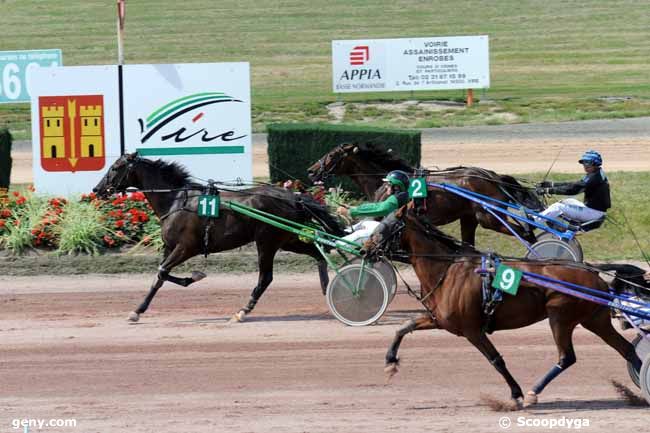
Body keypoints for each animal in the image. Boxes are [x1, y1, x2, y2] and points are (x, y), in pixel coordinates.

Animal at [93, 154, 344, 322]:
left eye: (116, 167)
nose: (97, 189)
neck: (177, 201)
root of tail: (293, 197)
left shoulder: (186, 247)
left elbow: (162, 272)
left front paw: (192, 277)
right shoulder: (170, 247)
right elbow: (160, 276)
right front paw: (139, 309)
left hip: (267, 241)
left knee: (266, 277)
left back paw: (243, 310)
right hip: (286, 238)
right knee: (317, 252)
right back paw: (327, 287)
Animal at [306, 141, 540, 245]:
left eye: (331, 155)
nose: (311, 170)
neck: (383, 180)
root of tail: (493, 176)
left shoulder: (384, 214)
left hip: (488, 217)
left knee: (526, 234)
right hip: (469, 218)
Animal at [368, 205, 640, 404]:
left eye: (386, 226)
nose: (365, 248)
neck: (447, 271)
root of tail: (592, 271)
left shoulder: (472, 330)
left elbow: (496, 360)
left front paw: (516, 394)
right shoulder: (442, 321)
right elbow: (404, 326)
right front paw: (390, 362)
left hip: (560, 317)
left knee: (566, 357)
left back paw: (533, 392)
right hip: (594, 319)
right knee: (627, 350)